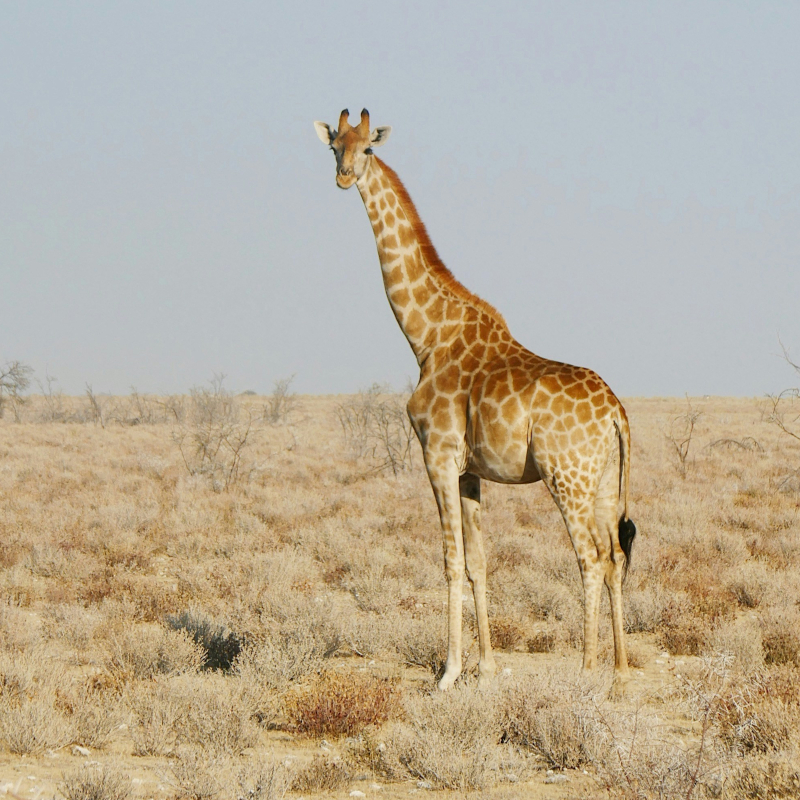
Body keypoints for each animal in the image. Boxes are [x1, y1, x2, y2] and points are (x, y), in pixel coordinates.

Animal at [314, 108, 637, 691]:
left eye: (367, 147)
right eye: (334, 146)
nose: (344, 176)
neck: (425, 335)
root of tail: (618, 414)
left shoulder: (437, 456)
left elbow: (449, 560)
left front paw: (448, 672)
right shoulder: (469, 471)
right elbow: (479, 561)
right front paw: (485, 667)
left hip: (566, 477)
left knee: (590, 558)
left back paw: (586, 670)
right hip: (603, 481)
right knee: (616, 555)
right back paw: (620, 675)